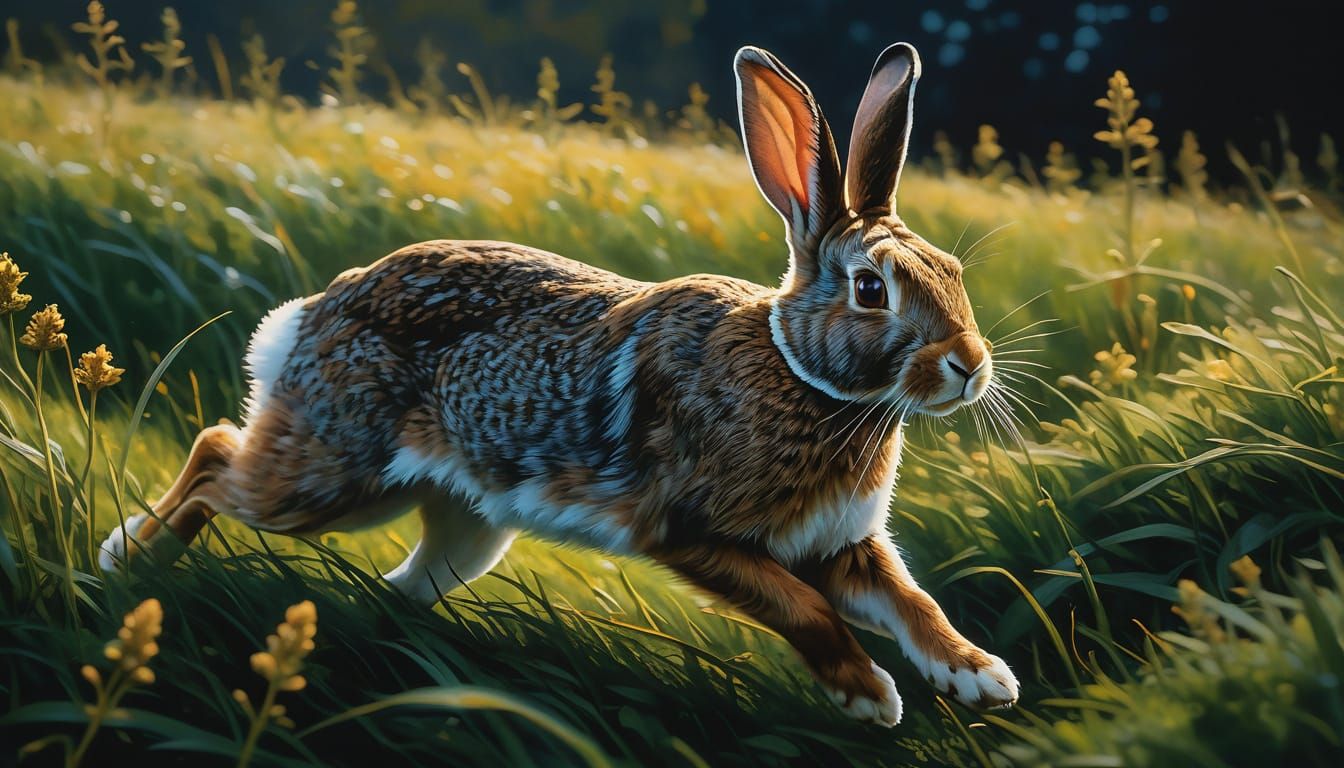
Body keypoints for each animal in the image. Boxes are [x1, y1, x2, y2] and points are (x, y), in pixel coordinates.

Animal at [100, 42, 1019, 725]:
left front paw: (981, 677)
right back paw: (128, 558)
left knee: (404, 581)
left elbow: (913, 603)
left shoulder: (844, 545)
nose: (970, 365)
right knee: (218, 456)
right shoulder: (691, 533)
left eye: (952, 271)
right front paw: (868, 695)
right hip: (327, 475)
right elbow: (804, 610)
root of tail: (315, 311)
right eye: (871, 289)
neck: (803, 376)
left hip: (463, 524)